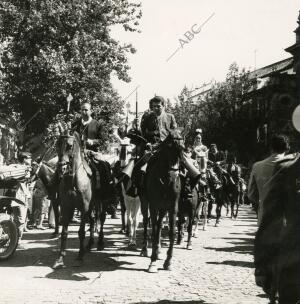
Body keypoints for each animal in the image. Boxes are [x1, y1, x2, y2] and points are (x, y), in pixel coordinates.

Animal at [144, 129, 184, 274]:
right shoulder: (154, 206)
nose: (174, 175)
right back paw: (146, 250)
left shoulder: (173, 207)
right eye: (169, 147)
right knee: (147, 223)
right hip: (146, 203)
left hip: (163, 208)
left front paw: (168, 261)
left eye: (182, 148)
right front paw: (153, 261)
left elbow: (172, 232)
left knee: (160, 224)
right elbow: (154, 230)